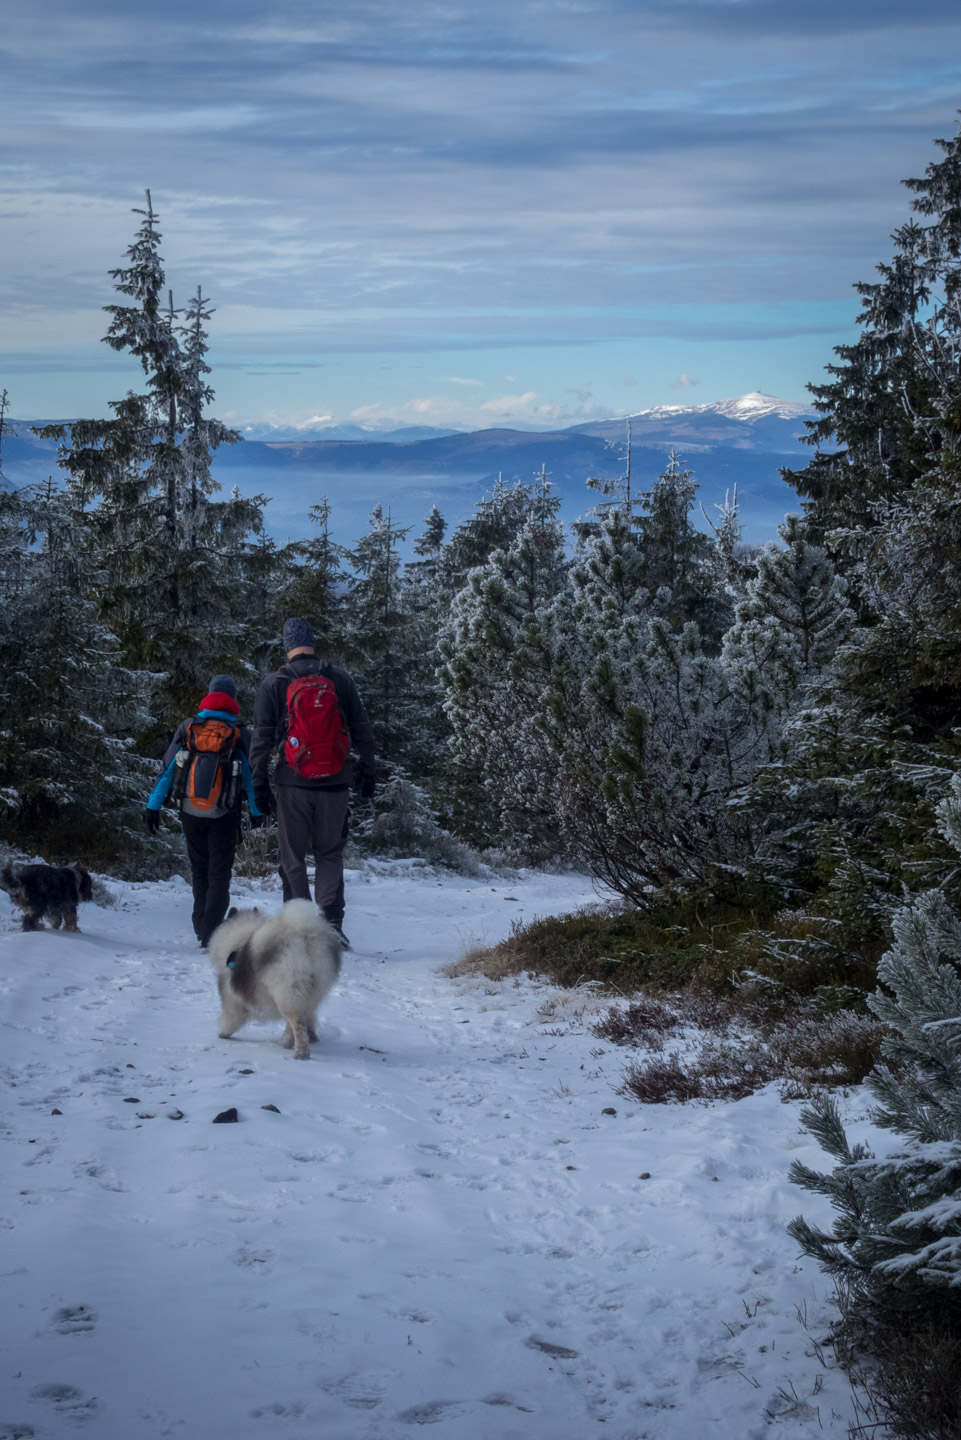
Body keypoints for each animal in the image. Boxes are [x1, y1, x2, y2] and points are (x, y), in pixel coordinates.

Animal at [208, 898, 344, 1059]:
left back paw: (300, 1052)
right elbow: (311, 1020)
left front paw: (222, 1033)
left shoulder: (232, 999)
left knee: (297, 1022)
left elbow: (230, 1018)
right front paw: (313, 1036)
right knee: (302, 1017)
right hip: (313, 990)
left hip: (286, 991)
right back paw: (287, 1042)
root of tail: (303, 935)